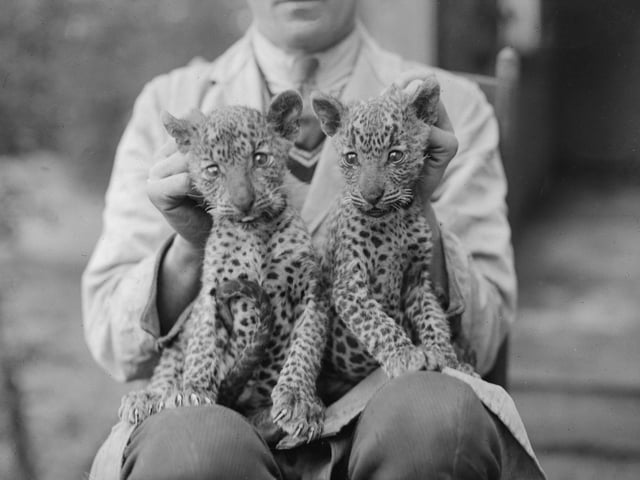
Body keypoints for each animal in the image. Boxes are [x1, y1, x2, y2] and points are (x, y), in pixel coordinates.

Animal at [118, 90, 327, 443]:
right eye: (213, 169)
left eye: (260, 159)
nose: (243, 202)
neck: (254, 229)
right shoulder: (212, 293)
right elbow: (202, 345)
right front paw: (193, 390)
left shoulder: (312, 291)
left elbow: (306, 346)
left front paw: (299, 400)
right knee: (169, 363)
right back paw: (148, 397)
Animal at [310, 77, 476, 401]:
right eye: (352, 158)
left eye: (395, 155)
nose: (371, 195)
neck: (393, 222)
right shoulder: (349, 284)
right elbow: (375, 322)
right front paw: (405, 355)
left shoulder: (416, 280)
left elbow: (433, 318)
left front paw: (447, 359)